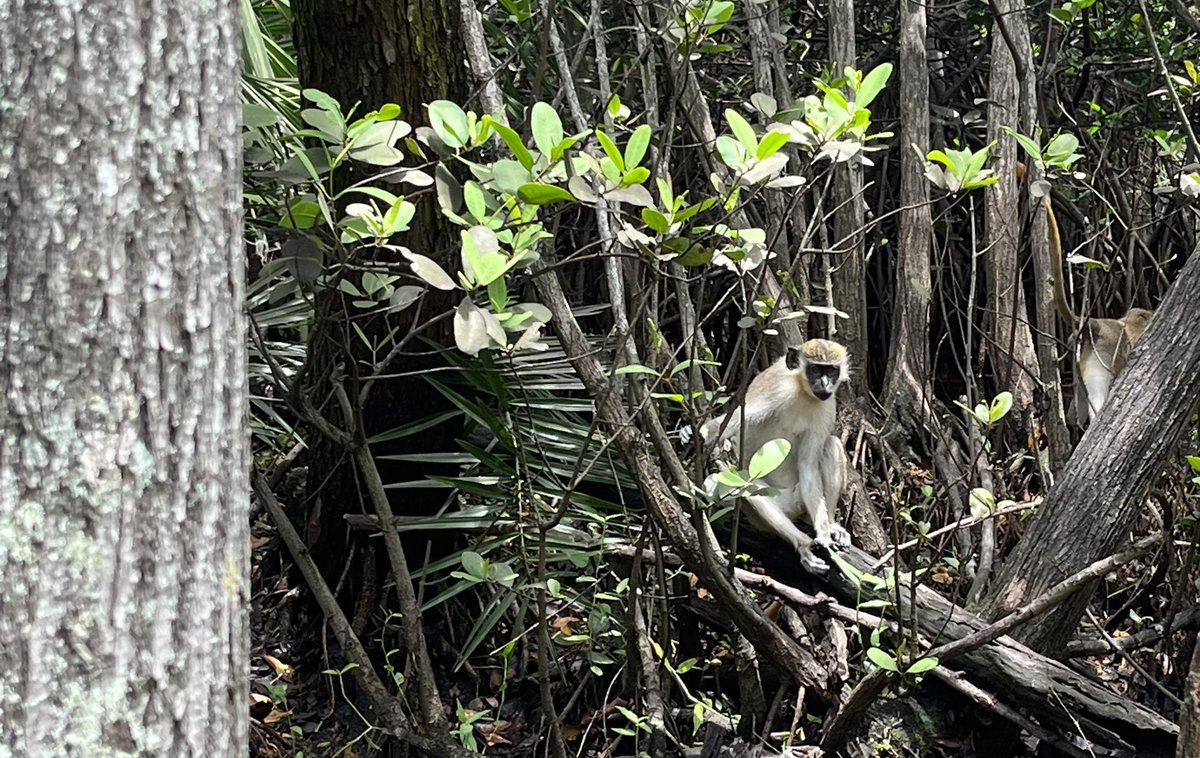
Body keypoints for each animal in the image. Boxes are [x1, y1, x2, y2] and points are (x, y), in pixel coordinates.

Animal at [699, 338, 851, 573]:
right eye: (816, 369)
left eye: (831, 370)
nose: (825, 384)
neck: (803, 391)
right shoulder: (777, 389)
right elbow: (734, 421)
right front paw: (701, 432)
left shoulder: (827, 406)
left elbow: (808, 466)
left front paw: (825, 533)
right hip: (771, 505)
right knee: (747, 485)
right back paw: (803, 545)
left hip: (800, 498)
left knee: (831, 445)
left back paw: (830, 524)